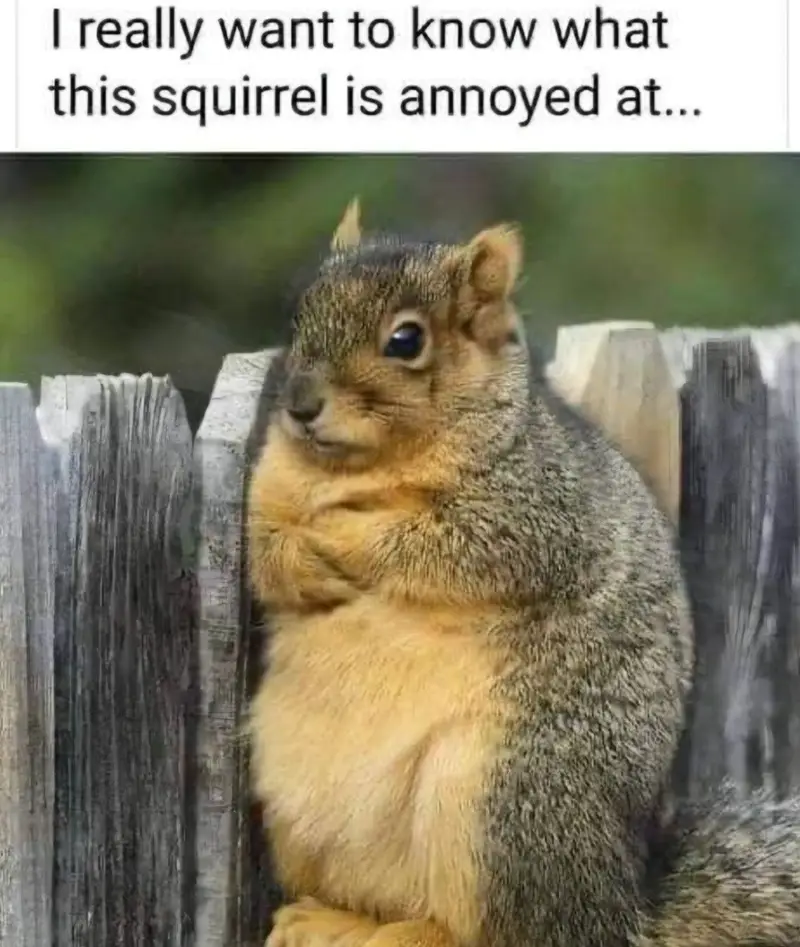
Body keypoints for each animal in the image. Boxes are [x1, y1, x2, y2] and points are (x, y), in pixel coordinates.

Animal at [246, 200, 800, 947]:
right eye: (299, 313)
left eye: (405, 341)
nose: (300, 406)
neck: (358, 468)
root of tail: (621, 912)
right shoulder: (266, 491)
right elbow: (262, 551)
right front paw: (301, 560)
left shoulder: (535, 510)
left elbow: (438, 543)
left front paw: (340, 533)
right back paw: (334, 920)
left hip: (501, 803)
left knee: (499, 929)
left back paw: (408, 933)